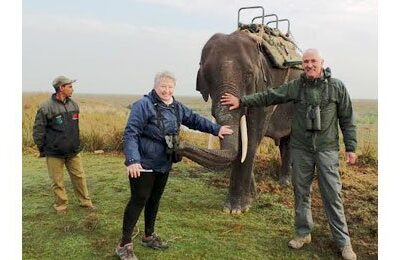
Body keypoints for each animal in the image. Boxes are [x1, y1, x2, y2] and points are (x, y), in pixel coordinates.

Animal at [179, 30, 304, 213]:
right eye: (206, 75)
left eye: (249, 74)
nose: (178, 145)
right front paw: (251, 197)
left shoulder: (266, 89)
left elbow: (251, 139)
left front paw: (236, 209)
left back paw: (285, 184)